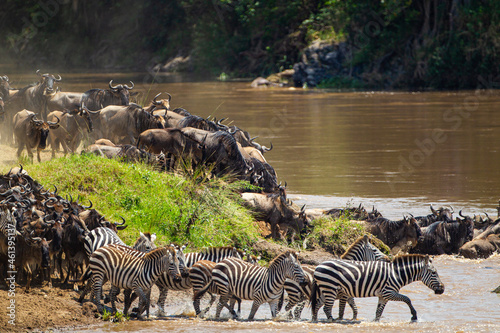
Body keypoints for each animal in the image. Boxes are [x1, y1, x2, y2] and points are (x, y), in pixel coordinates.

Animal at [312, 254, 446, 322]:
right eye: (434, 272)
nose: (443, 289)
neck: (396, 274)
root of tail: (318, 266)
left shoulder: (383, 296)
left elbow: (378, 312)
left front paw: (375, 322)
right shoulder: (388, 292)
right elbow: (407, 299)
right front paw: (414, 315)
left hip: (326, 290)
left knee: (317, 305)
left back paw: (315, 321)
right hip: (330, 288)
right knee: (326, 308)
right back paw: (332, 321)